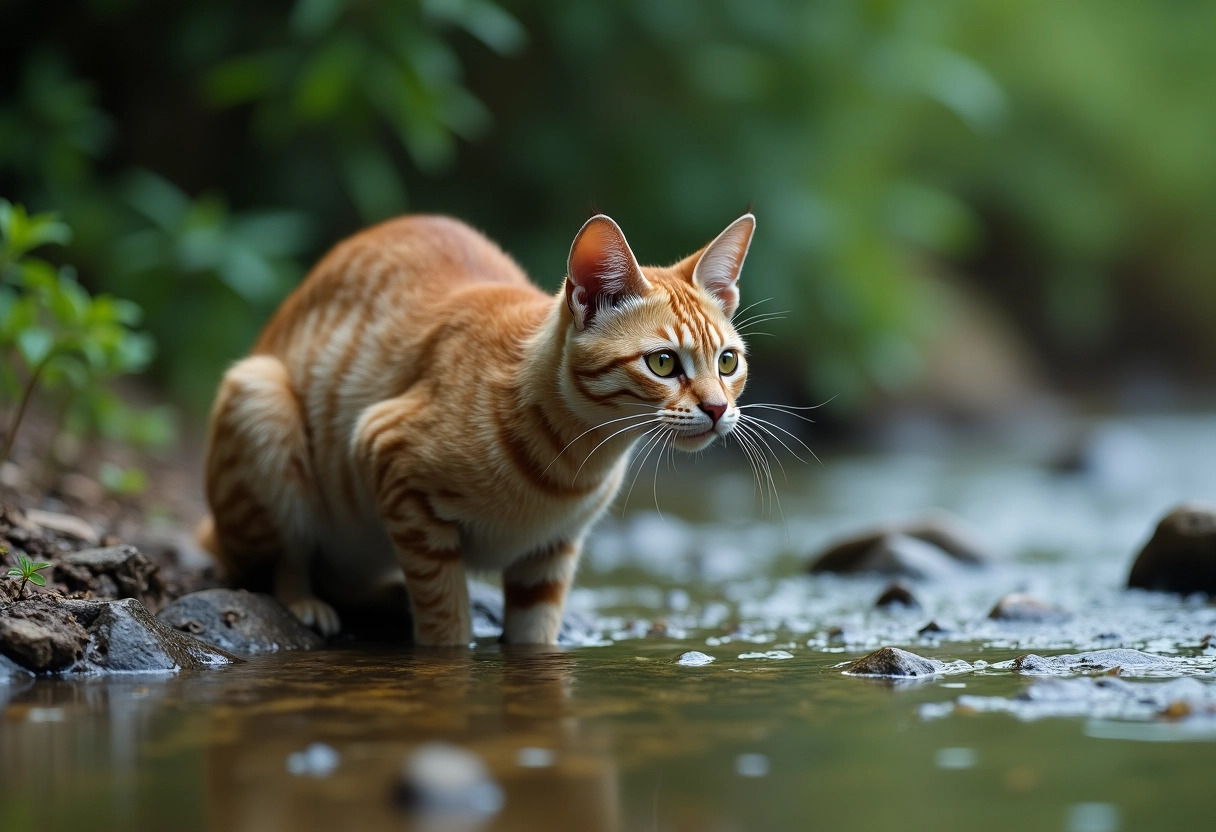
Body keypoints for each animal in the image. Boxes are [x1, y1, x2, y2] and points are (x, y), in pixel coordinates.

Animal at [195, 211, 753, 647]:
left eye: (727, 362)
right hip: (261, 398)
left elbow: (535, 638)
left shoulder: (550, 556)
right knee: (280, 562)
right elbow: (446, 624)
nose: (717, 408)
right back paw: (305, 601)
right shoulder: (391, 462)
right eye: (663, 363)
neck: (577, 460)